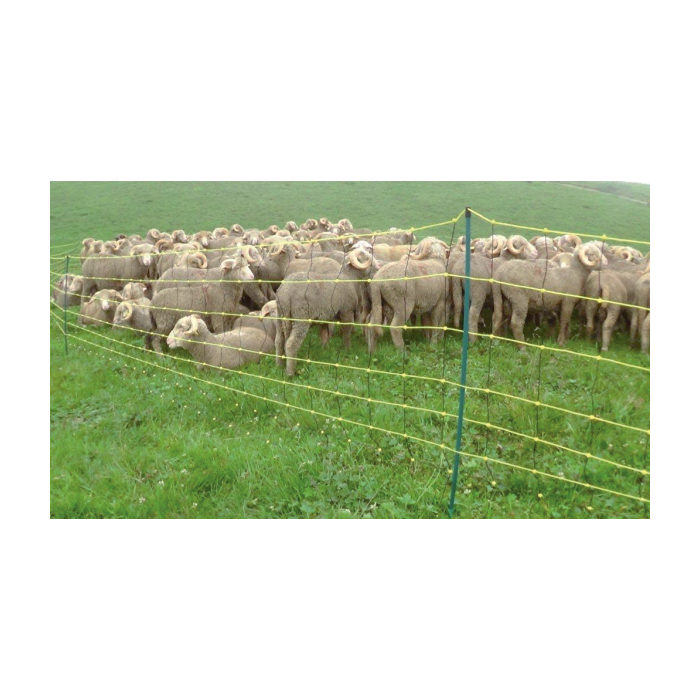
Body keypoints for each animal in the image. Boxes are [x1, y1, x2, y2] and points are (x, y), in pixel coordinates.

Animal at [275, 246, 377, 375]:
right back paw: (290, 373)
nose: (378, 267)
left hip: (280, 316)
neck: (349, 278)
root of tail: (286, 293)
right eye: (364, 257)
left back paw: (279, 365)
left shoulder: (323, 317)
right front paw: (347, 349)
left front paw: (324, 349)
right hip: (301, 316)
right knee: (291, 343)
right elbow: (347, 332)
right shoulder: (346, 311)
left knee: (279, 340)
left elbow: (324, 334)